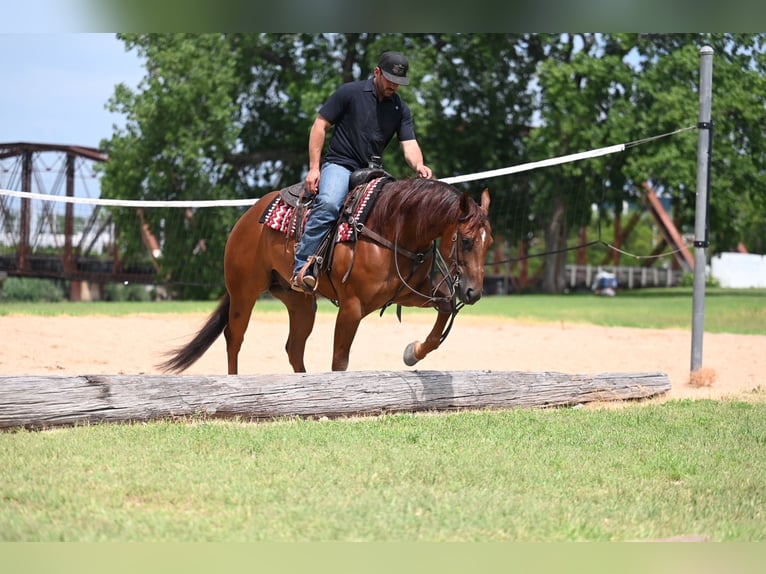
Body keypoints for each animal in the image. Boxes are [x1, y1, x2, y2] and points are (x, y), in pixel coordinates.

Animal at [159, 177, 492, 374]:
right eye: (465, 240)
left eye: (489, 242)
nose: (473, 292)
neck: (392, 228)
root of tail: (248, 217)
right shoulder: (352, 308)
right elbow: (339, 361)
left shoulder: (411, 293)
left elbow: (445, 309)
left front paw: (413, 352)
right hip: (244, 293)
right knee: (234, 338)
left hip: (300, 302)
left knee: (294, 348)